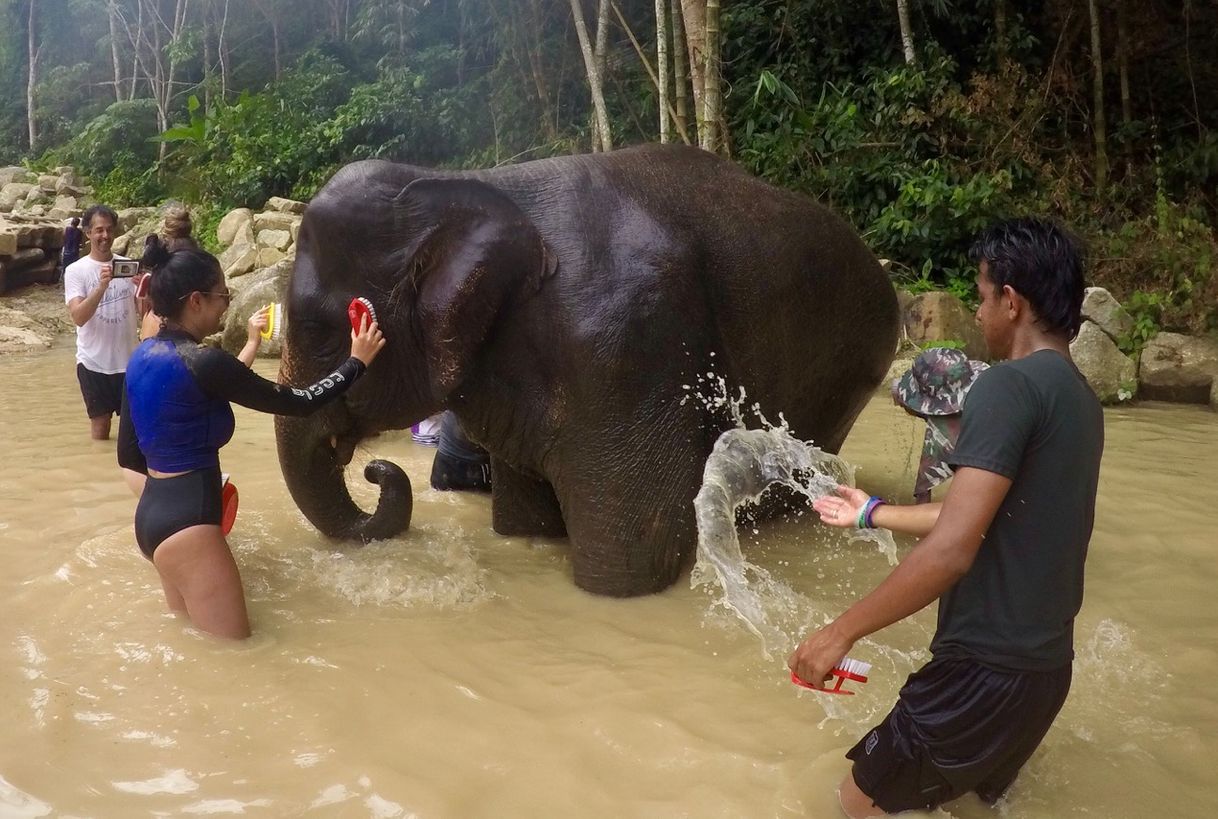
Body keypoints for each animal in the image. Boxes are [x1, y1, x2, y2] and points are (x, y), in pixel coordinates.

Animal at [278, 142, 906, 594]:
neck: (468, 180)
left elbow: (629, 564)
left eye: (321, 330)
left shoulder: (627, 353)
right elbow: (524, 526)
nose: (376, 469)